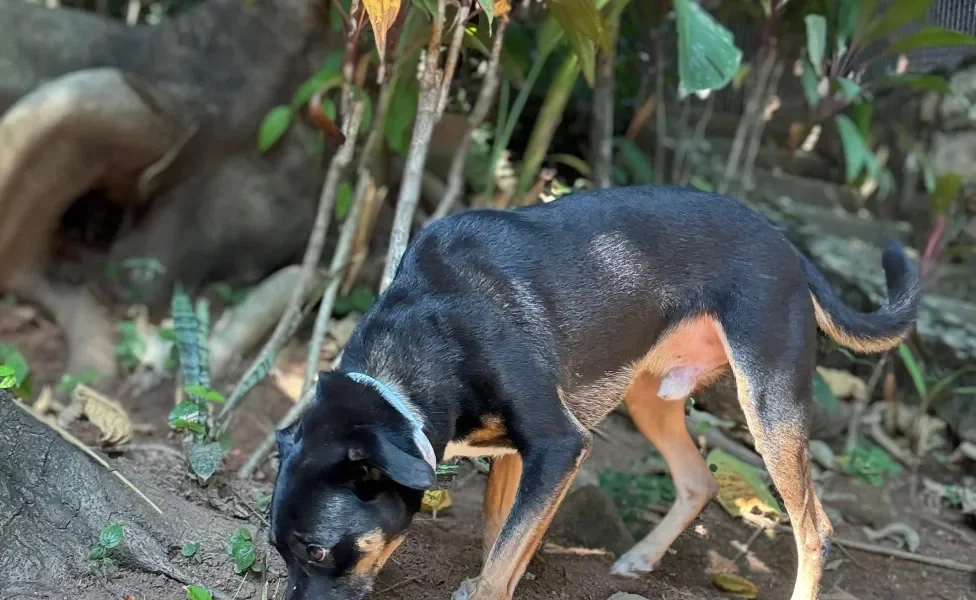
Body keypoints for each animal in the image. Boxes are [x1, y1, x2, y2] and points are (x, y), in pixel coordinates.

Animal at [268, 185, 924, 596]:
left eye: (318, 552)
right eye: (278, 551)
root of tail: (786, 244)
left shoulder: (559, 444)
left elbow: (500, 562)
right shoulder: (522, 456)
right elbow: (501, 541)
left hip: (769, 406)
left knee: (815, 530)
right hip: (649, 397)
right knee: (700, 480)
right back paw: (641, 558)